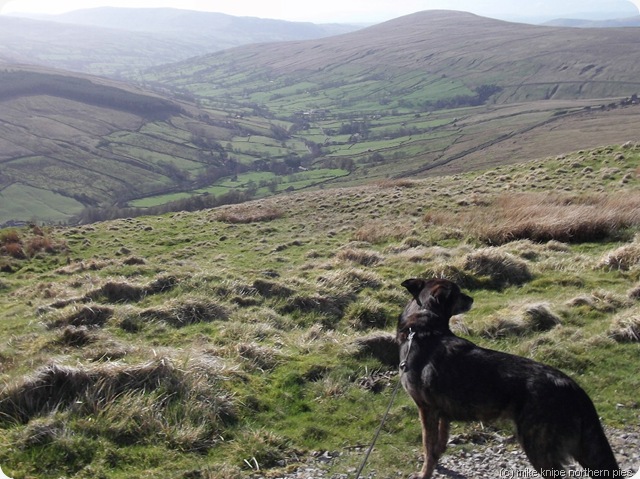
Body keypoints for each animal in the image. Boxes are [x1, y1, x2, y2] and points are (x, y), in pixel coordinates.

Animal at [396, 280, 620, 478]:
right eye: (458, 293)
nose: (472, 298)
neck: (424, 330)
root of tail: (572, 387)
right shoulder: (441, 413)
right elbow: (437, 445)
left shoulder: (426, 409)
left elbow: (427, 446)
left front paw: (424, 473)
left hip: (537, 445)